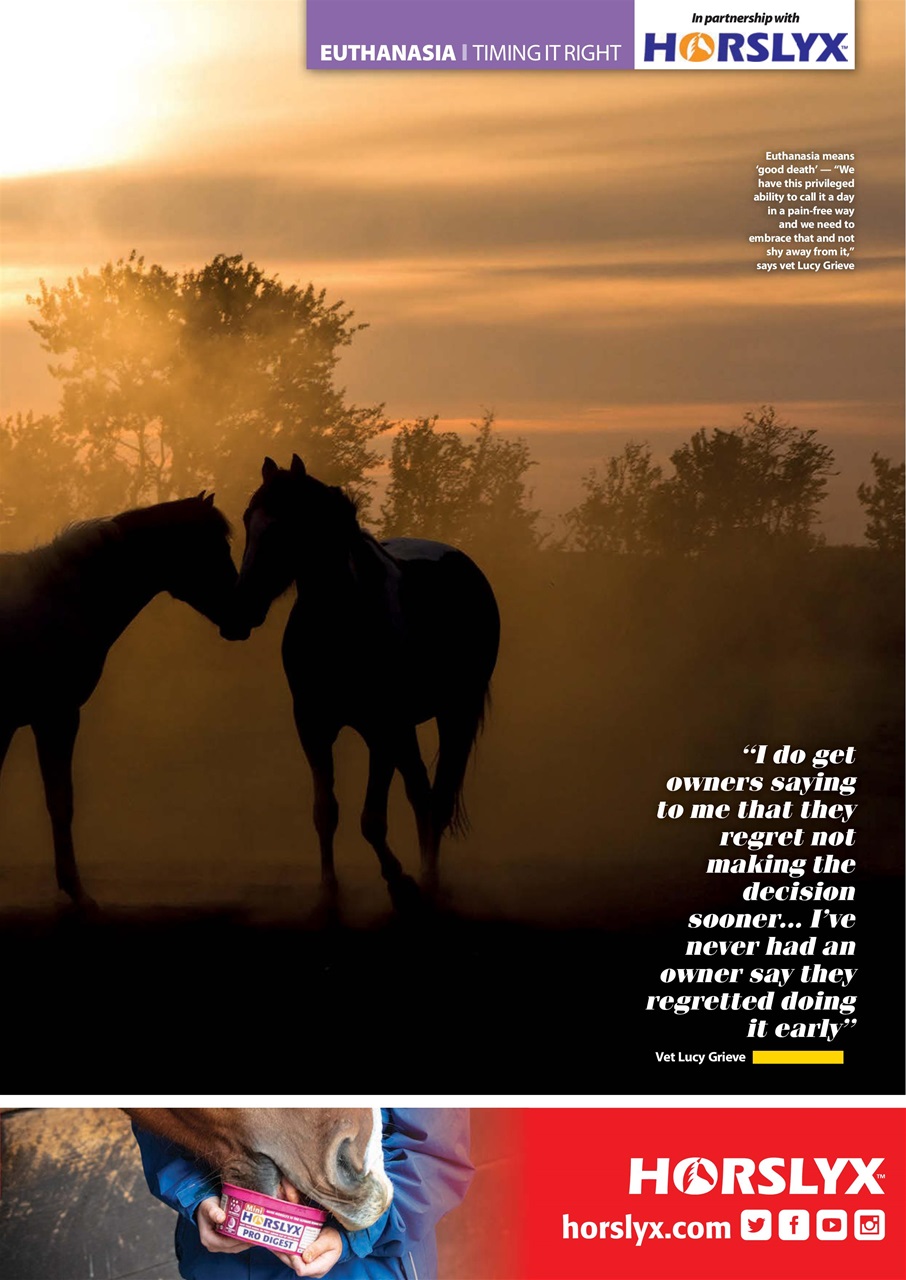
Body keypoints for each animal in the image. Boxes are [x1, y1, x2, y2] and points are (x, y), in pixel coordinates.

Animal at [0, 494, 237, 907]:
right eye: (217, 548)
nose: (244, 614)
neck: (60, 599)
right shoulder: (56, 716)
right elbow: (60, 801)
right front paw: (78, 893)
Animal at [220, 455, 500, 903]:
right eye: (249, 519)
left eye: (287, 524)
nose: (237, 613)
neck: (343, 620)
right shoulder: (313, 727)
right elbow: (325, 811)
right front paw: (329, 885)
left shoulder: (381, 731)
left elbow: (371, 819)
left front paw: (398, 878)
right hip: (407, 728)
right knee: (420, 792)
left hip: (455, 711)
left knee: (437, 798)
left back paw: (429, 878)